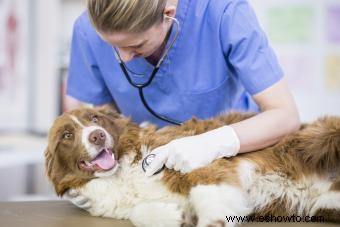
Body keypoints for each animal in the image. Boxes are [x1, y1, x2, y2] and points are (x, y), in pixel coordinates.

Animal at [45, 107, 340, 227]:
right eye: (67, 135)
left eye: (95, 118)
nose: (97, 135)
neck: (120, 173)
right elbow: (137, 212)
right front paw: (174, 216)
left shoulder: (205, 168)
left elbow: (204, 192)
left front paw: (211, 220)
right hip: (326, 204)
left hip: (321, 139)